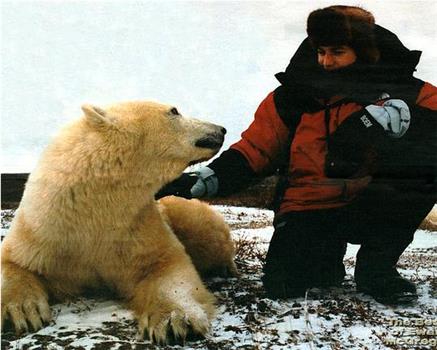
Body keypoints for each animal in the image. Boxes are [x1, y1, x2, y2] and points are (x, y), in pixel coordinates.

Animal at [0, 100, 228, 344]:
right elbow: (14, 261)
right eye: (174, 111)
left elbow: (167, 264)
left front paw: (174, 321)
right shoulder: (46, 227)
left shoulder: (137, 226)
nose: (220, 129)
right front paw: (22, 312)